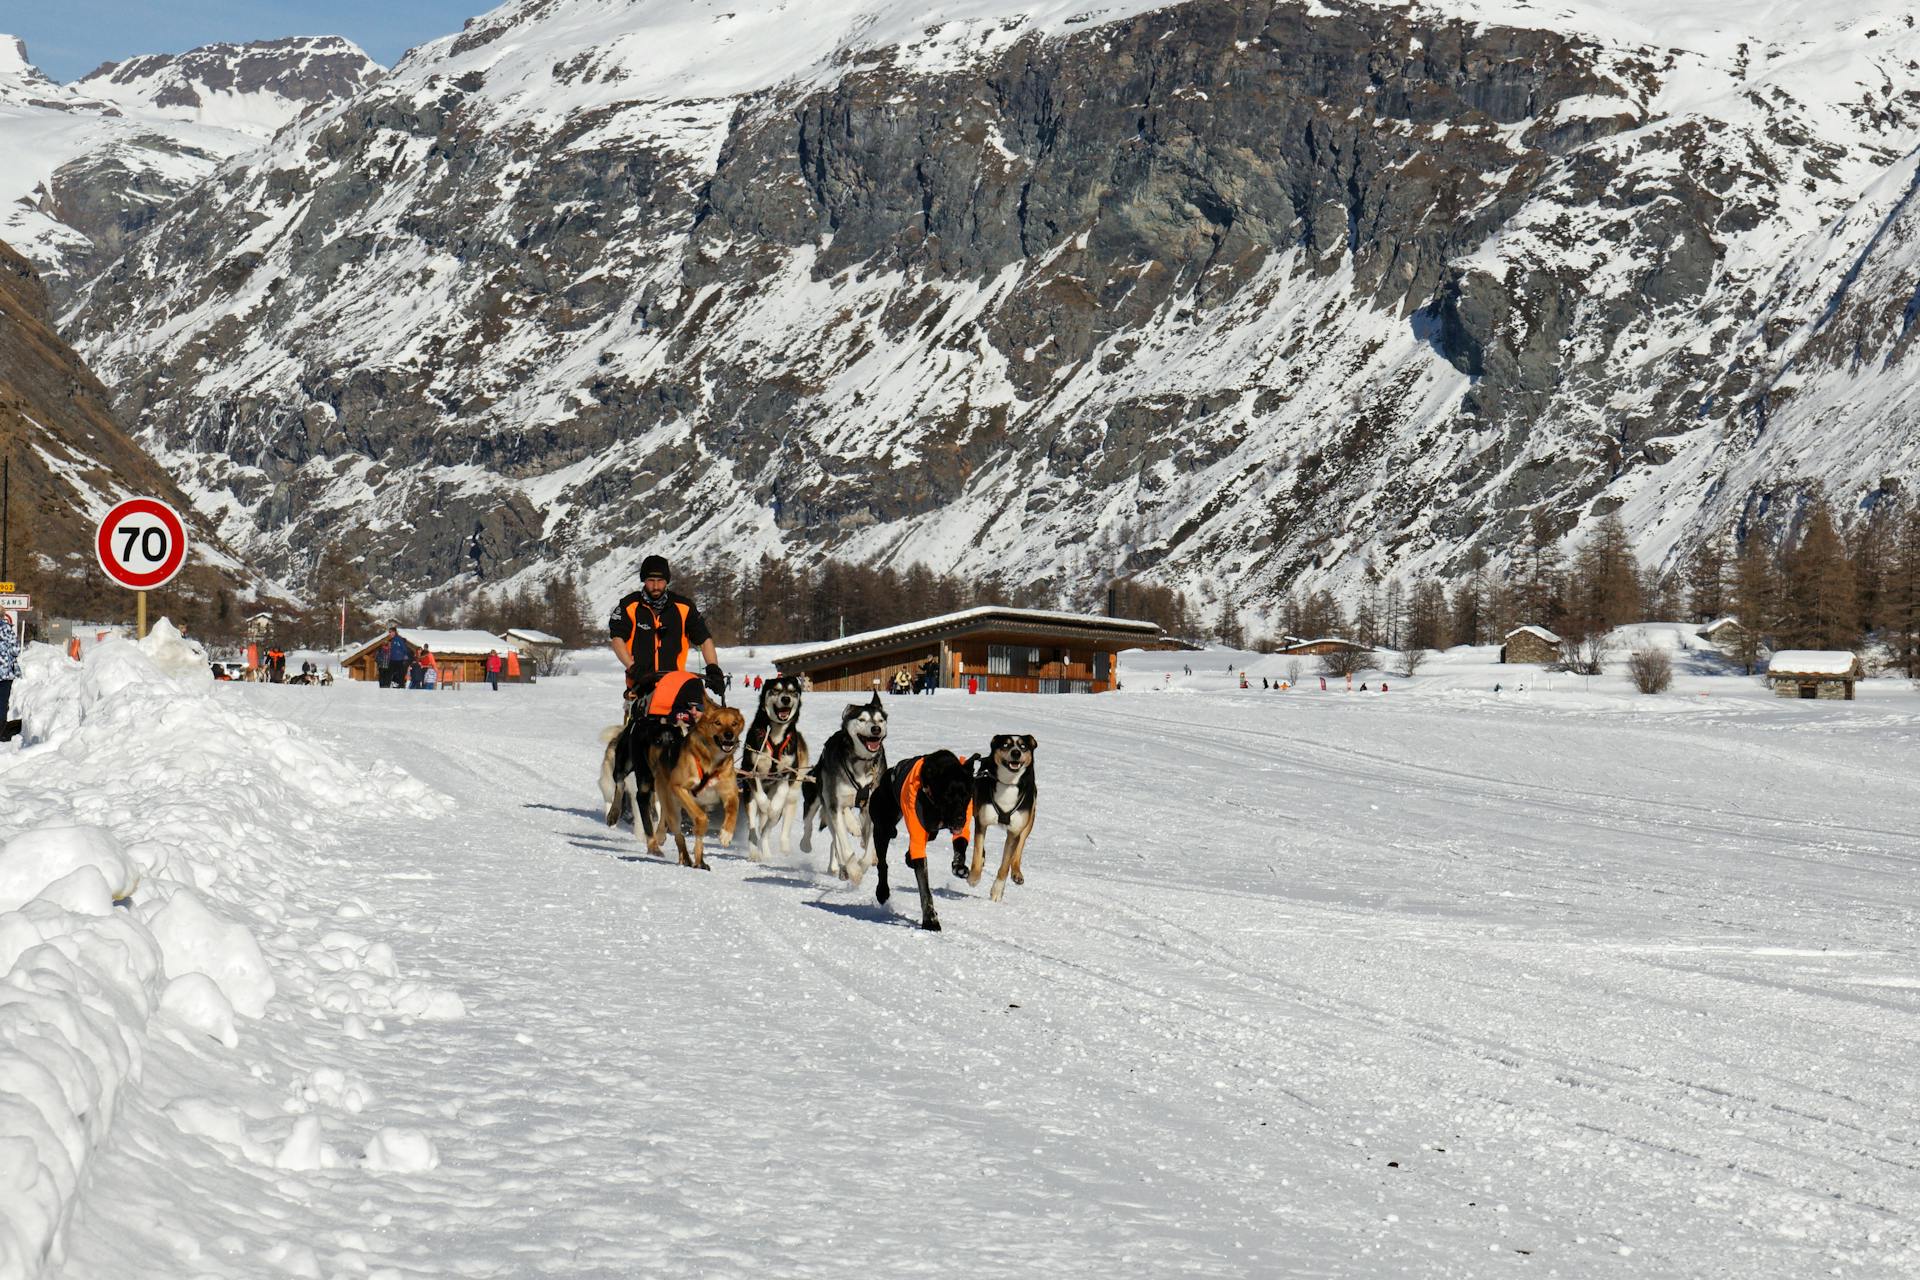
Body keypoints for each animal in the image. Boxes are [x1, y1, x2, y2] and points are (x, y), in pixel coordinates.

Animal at [641, 702, 737, 871]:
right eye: (717, 722)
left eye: (734, 723)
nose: (729, 736)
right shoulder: (679, 789)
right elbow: (699, 820)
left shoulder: (729, 793)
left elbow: (731, 810)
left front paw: (726, 834)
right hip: (673, 808)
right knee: (678, 834)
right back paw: (685, 857)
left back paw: (699, 861)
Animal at [871, 752, 975, 932]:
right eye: (947, 795)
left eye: (966, 795)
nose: (960, 818)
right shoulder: (918, 838)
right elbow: (924, 888)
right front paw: (930, 919)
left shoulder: (960, 829)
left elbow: (960, 847)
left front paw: (958, 867)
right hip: (882, 827)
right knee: (882, 863)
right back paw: (882, 891)